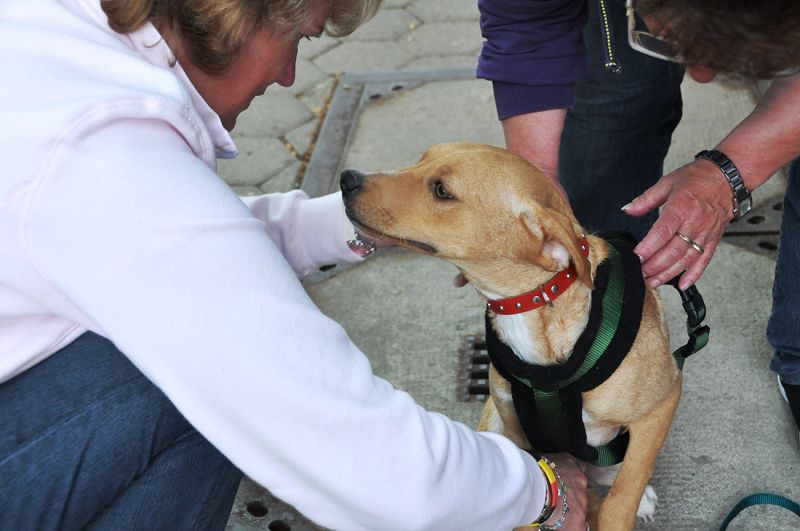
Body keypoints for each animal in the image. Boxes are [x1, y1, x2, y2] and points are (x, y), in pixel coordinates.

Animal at [340, 142, 684, 531]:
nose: (347, 179)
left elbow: (622, 497)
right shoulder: (518, 431)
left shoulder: (662, 404)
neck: (531, 310)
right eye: (422, 157)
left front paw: (627, 502)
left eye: (442, 191)